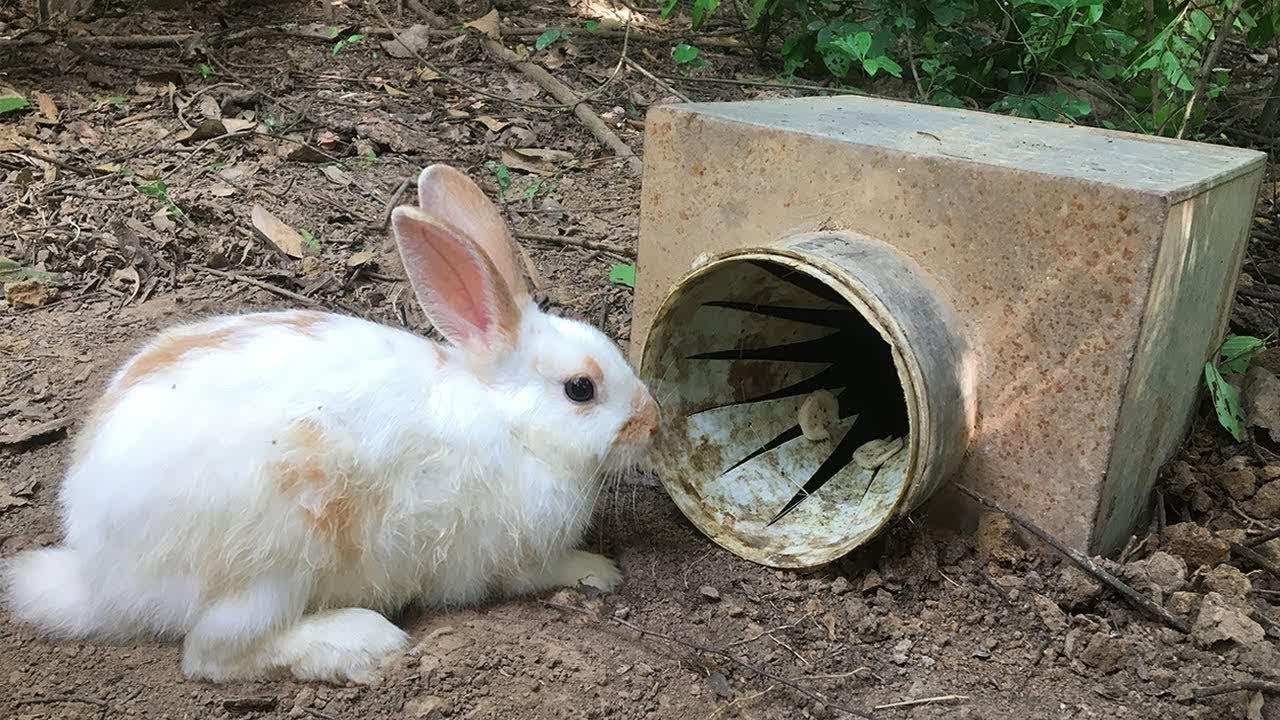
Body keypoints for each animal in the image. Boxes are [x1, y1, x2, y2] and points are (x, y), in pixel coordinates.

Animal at [2, 164, 660, 684]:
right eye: (581, 389)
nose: (652, 423)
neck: (511, 424)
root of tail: (100, 574)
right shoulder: (507, 558)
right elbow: (539, 573)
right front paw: (599, 571)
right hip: (272, 567)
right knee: (213, 654)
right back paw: (361, 644)